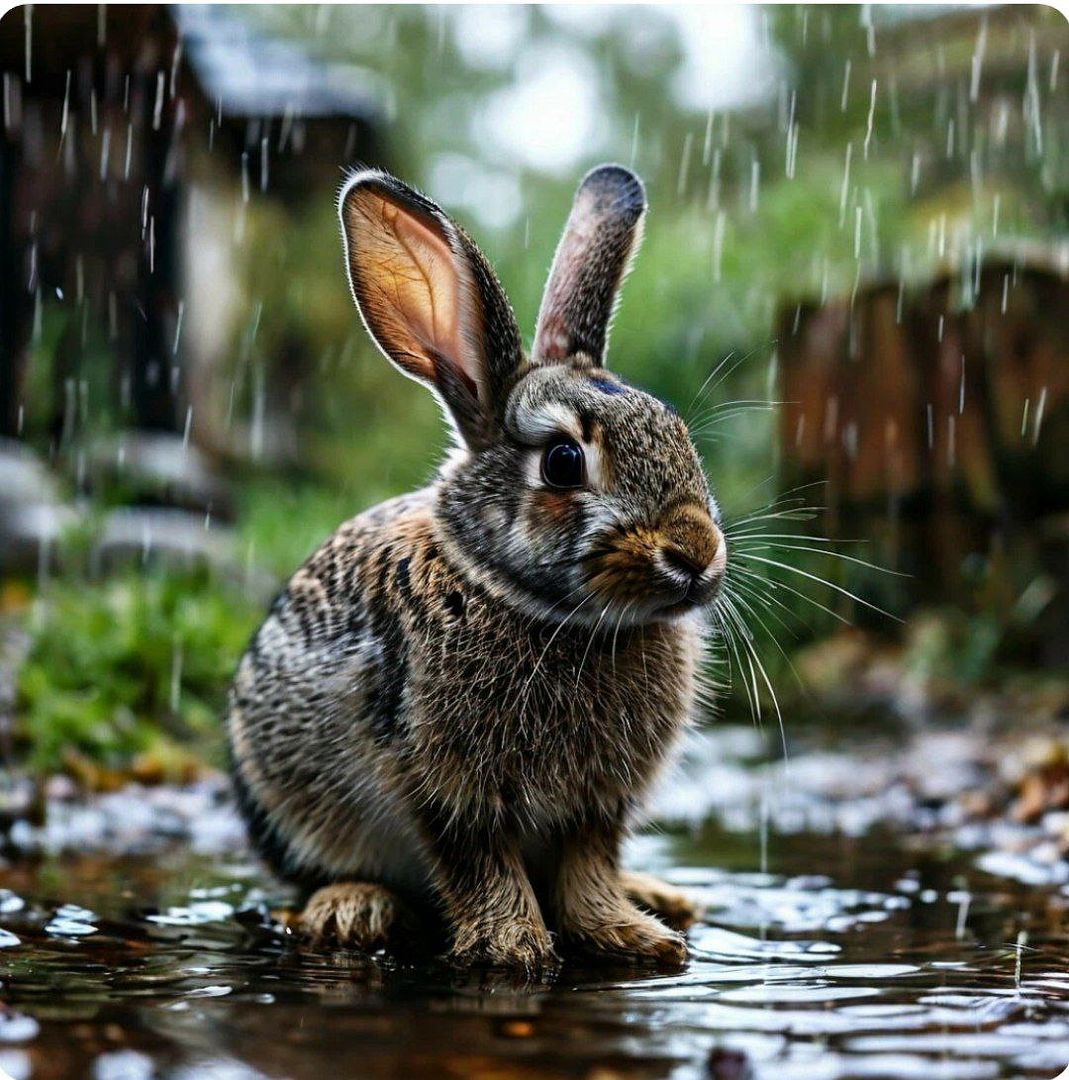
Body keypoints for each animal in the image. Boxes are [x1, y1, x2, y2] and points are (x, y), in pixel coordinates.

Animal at [225, 159, 729, 972]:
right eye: (563, 462)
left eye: (678, 433)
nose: (695, 553)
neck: (543, 610)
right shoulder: (440, 785)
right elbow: (478, 865)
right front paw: (514, 950)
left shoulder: (597, 806)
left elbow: (588, 870)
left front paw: (631, 937)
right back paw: (353, 909)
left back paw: (662, 897)